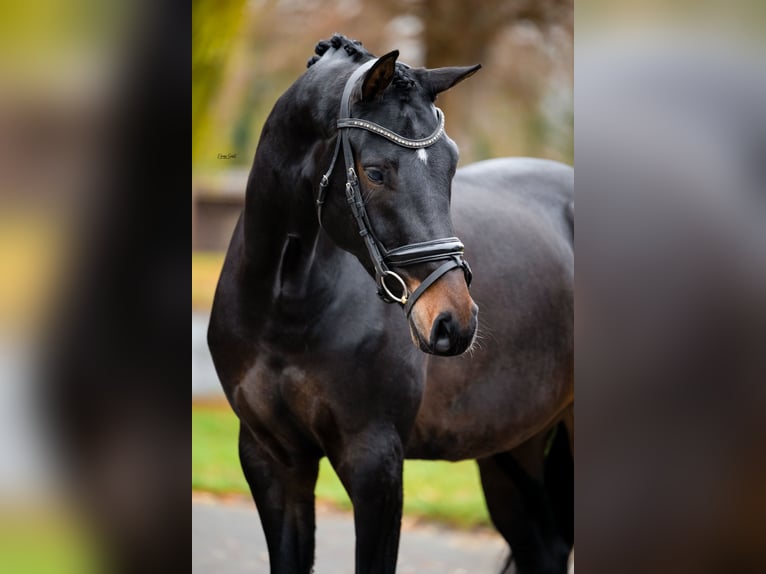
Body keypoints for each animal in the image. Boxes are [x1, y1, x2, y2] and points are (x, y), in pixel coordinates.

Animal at [208, 34, 573, 574]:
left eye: (451, 163)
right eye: (375, 172)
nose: (454, 322)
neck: (284, 304)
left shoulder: (375, 462)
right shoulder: (272, 460)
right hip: (512, 449)